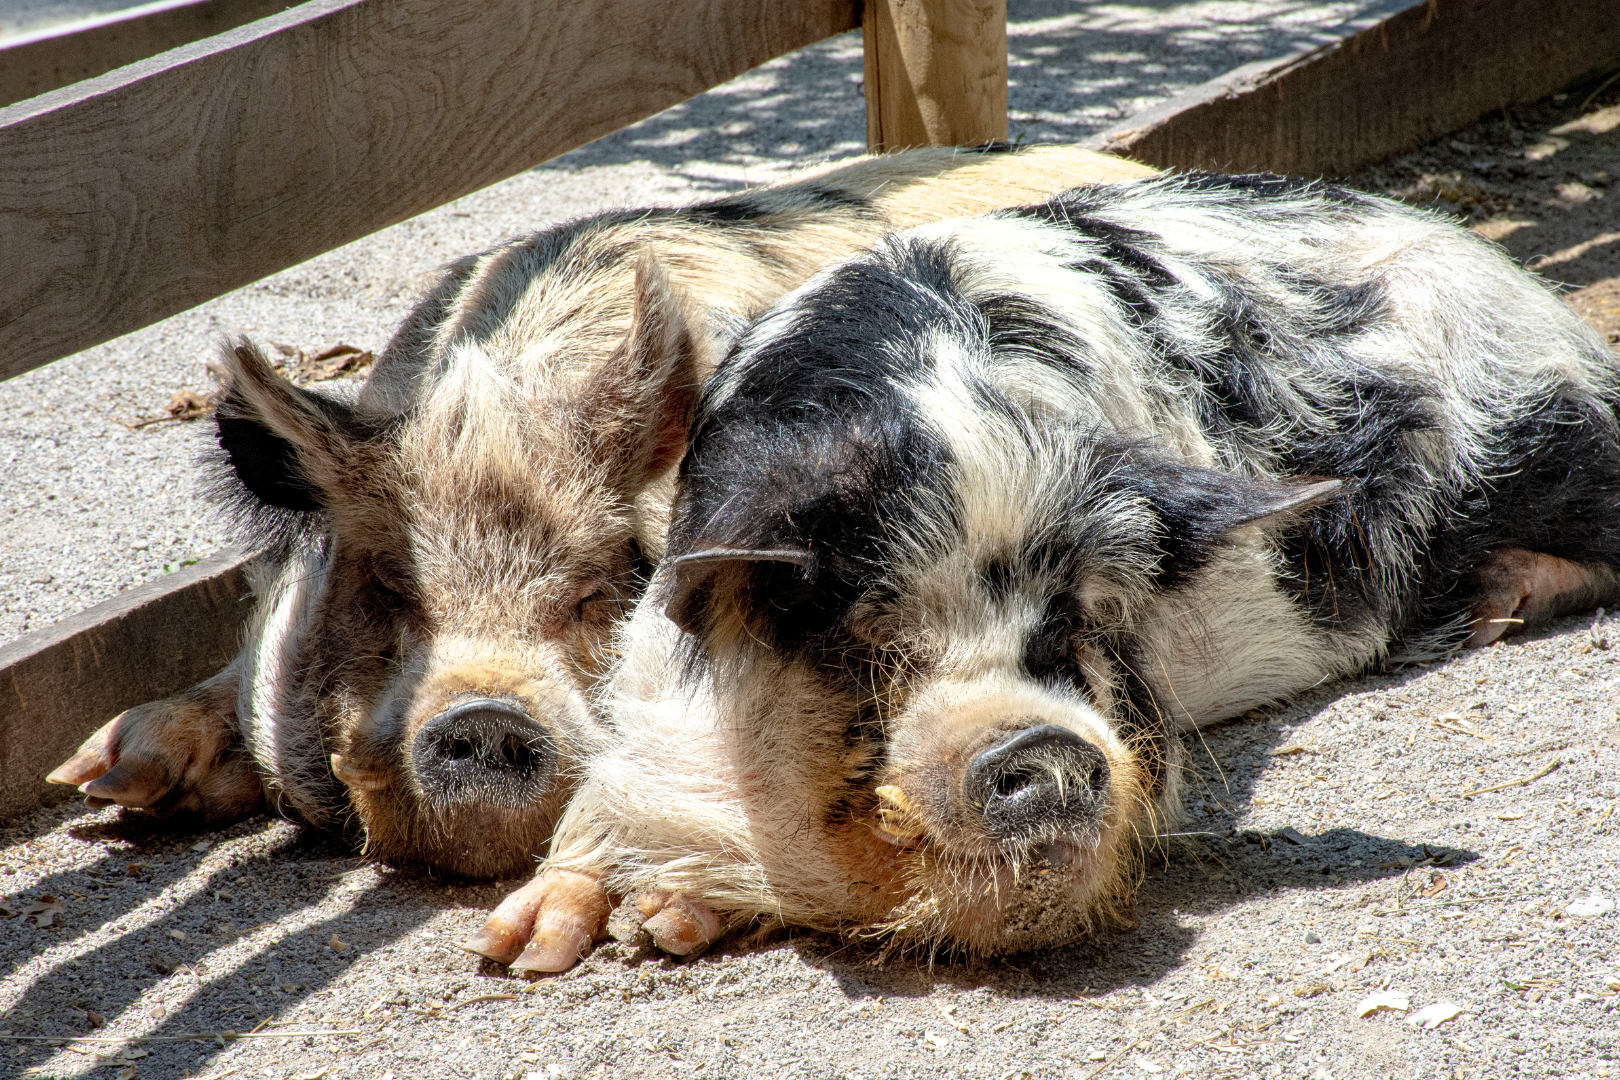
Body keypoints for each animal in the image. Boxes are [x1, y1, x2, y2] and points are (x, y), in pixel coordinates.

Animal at [476, 173, 1620, 965]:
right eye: (871, 637)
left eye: (1077, 625)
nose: (1045, 745)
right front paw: (533, 947)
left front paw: (631, 927)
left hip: (1542, 426)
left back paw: (1495, 599)